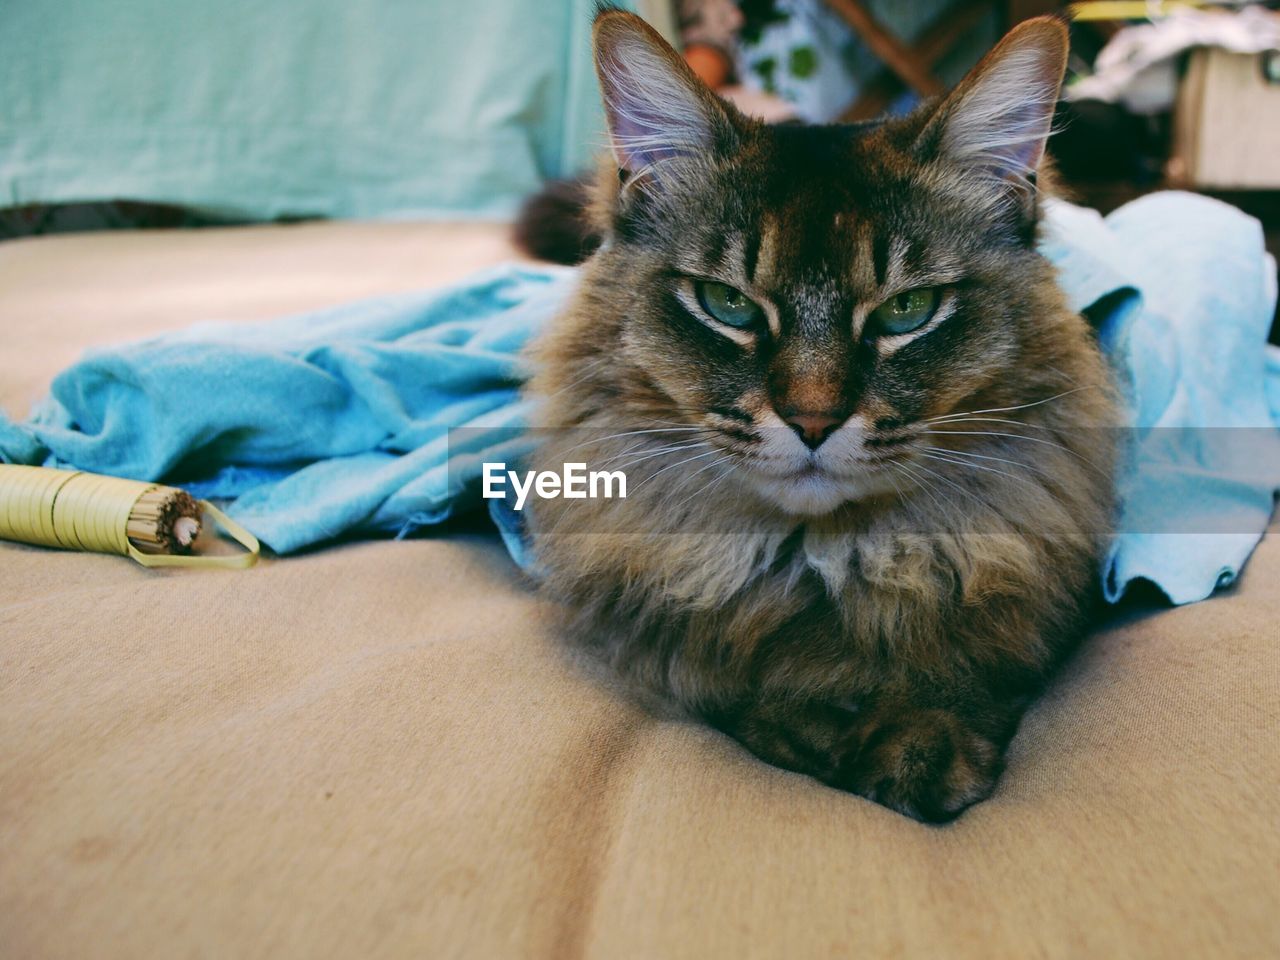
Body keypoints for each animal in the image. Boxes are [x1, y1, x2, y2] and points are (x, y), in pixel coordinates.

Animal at [522, 7, 1121, 824]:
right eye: (727, 303)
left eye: (908, 310)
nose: (811, 421)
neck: (822, 559)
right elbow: (737, 685)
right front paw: (813, 728)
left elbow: (973, 663)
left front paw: (920, 744)